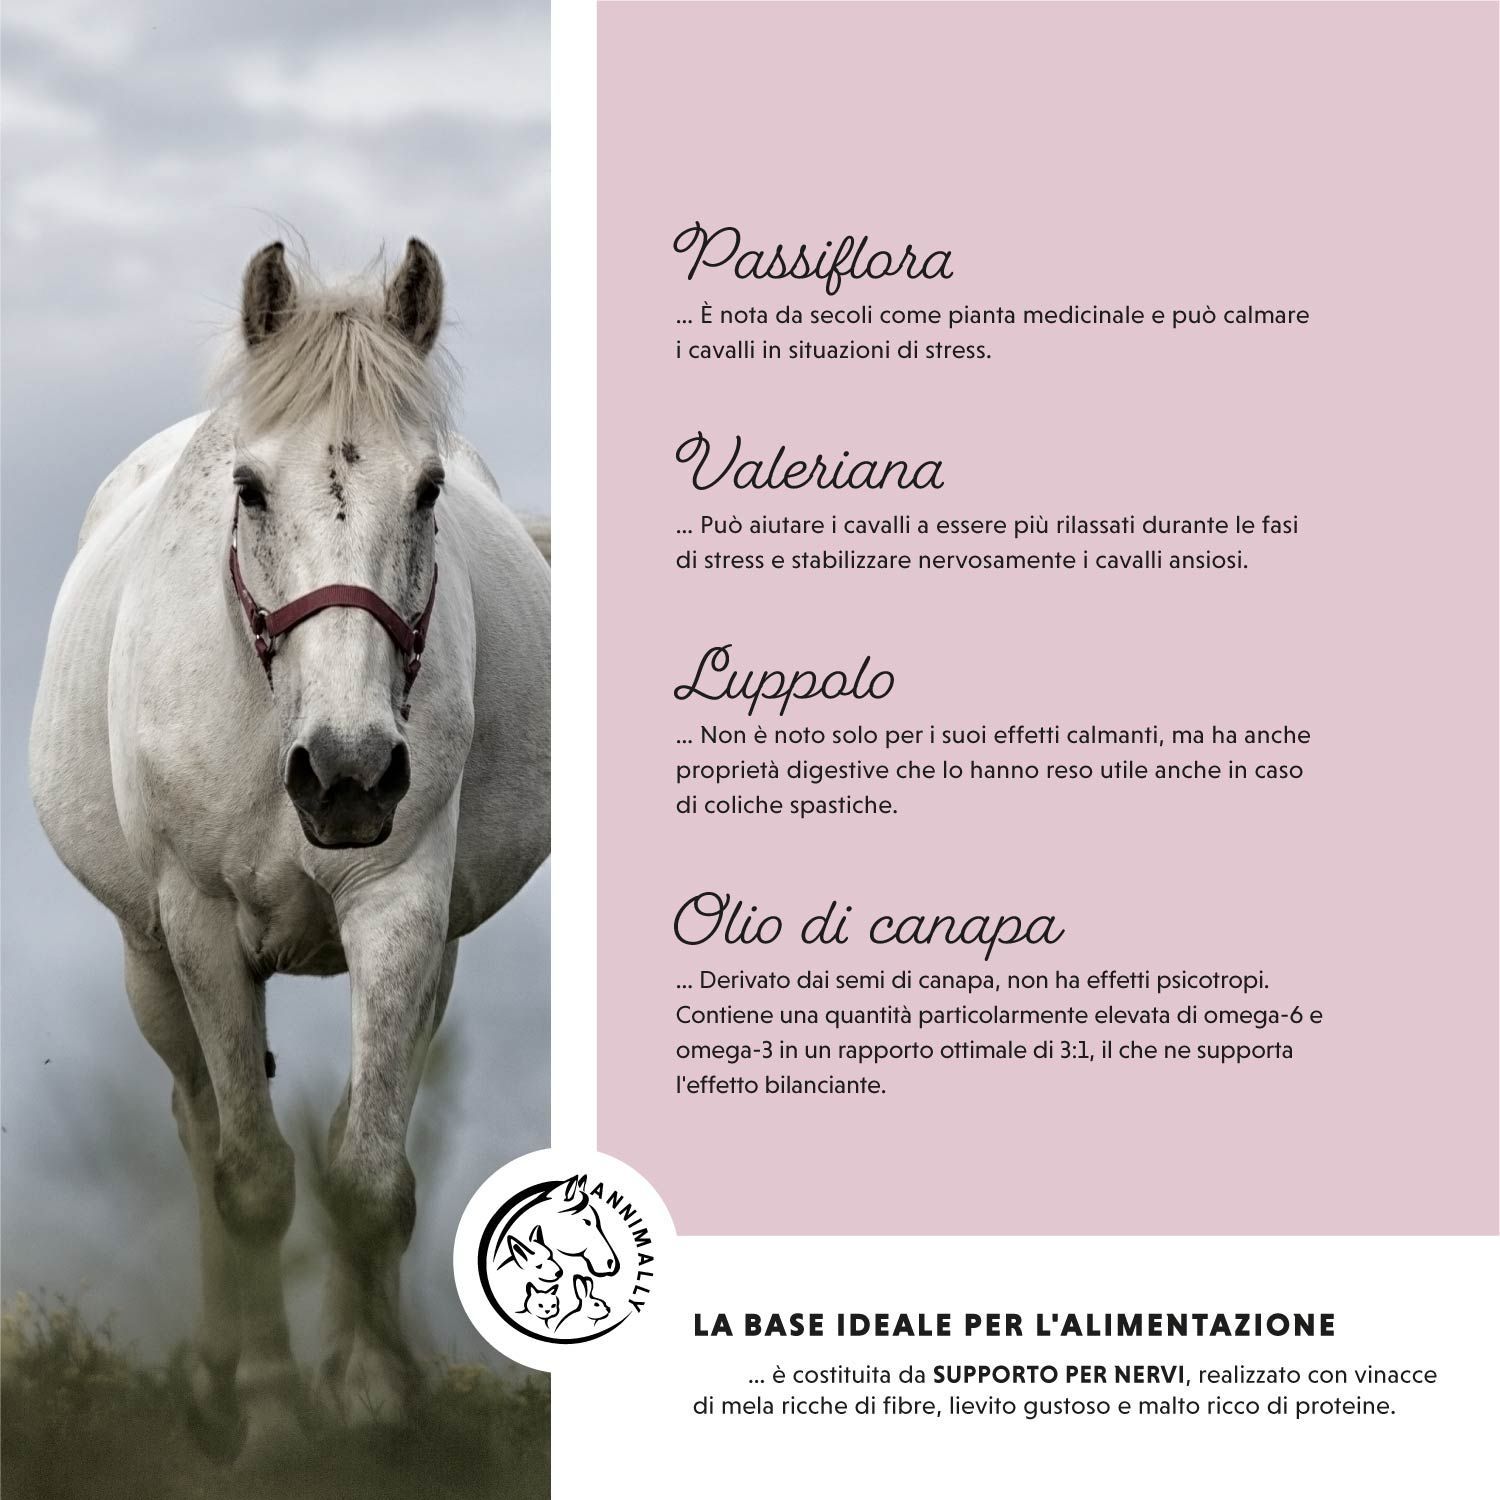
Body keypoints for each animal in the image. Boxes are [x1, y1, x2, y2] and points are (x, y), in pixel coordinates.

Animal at [28, 239, 549, 1462]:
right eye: (251, 487)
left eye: (430, 489)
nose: (349, 774)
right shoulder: (200, 923)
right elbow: (253, 1178)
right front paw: (266, 1414)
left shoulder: (403, 912)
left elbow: (369, 1174)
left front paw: (376, 1404)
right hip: (148, 958)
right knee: (201, 1130)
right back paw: (218, 1373)